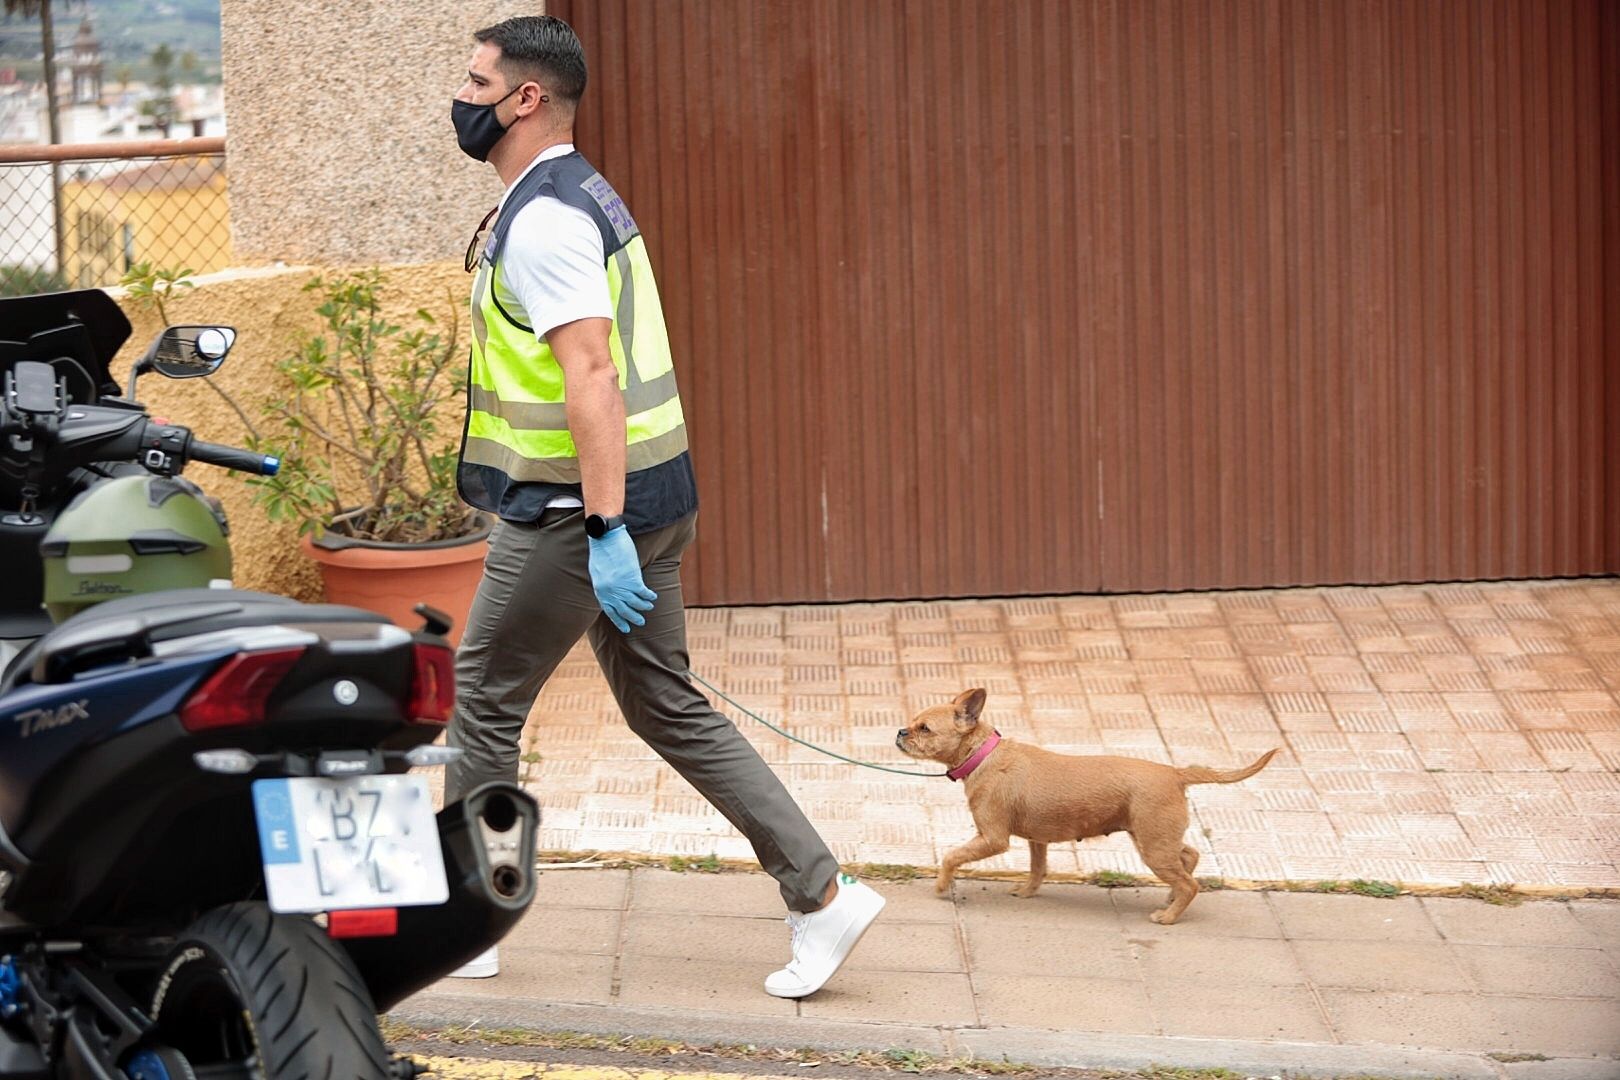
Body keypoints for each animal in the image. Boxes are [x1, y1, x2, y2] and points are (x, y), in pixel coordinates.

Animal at [900, 689, 1276, 926]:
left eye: (925, 728)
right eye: (913, 722)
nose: (901, 732)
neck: (983, 754)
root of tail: (1175, 772)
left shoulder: (992, 838)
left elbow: (951, 856)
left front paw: (941, 886)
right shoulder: (1037, 839)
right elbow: (1038, 868)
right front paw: (1027, 891)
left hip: (1153, 846)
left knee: (1190, 883)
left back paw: (1168, 917)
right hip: (1156, 838)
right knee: (1190, 857)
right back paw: (1170, 900)